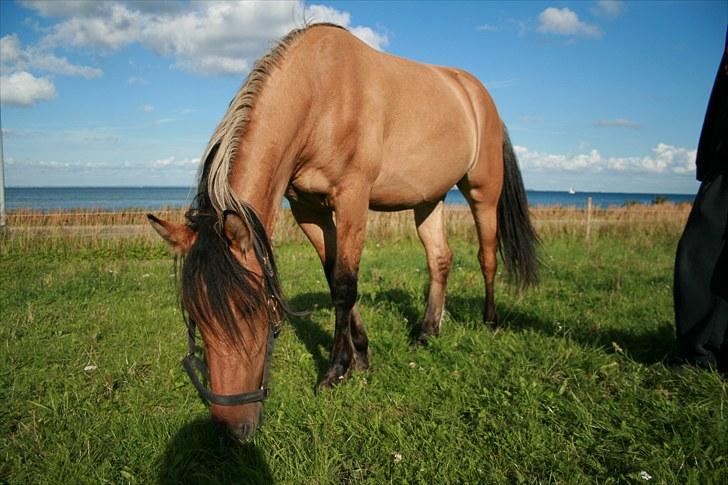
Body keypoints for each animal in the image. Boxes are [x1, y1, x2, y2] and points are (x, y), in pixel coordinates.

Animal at [148, 25, 540, 442]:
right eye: (194, 315)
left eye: (251, 308)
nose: (231, 428)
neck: (320, 95)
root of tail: (477, 94)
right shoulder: (309, 210)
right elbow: (334, 276)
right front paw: (361, 356)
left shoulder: (353, 198)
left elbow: (344, 284)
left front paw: (336, 370)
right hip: (429, 199)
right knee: (440, 259)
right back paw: (426, 331)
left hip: (483, 191)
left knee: (487, 257)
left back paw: (490, 323)